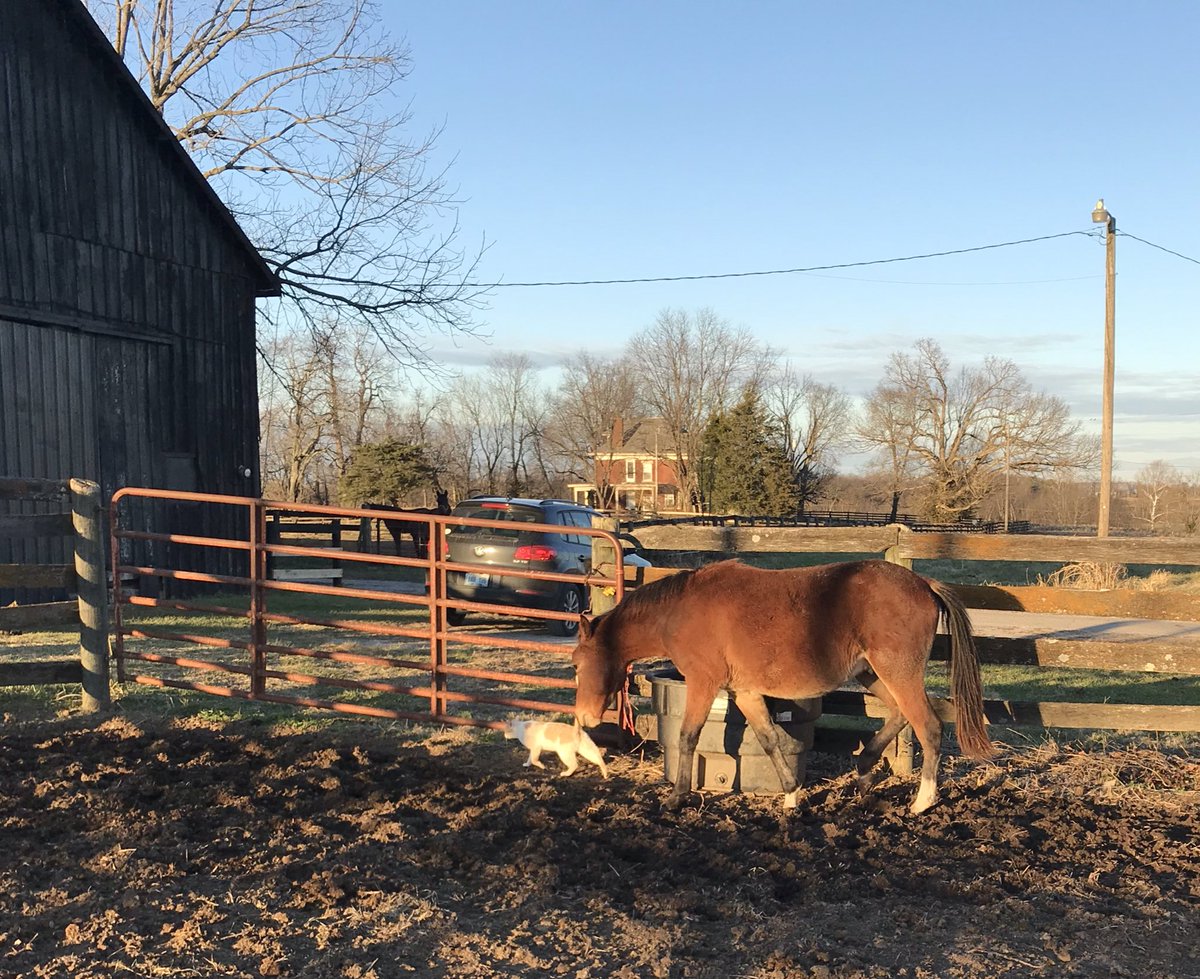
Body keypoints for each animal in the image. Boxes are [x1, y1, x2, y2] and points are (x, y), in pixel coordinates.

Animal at [571, 561, 993, 815]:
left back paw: (923, 801)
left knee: (929, 725)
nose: (584, 718)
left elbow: (688, 736)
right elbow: (770, 739)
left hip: (897, 673)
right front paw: (792, 796)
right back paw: (863, 770)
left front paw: (676, 797)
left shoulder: (703, 683)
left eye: (575, 664)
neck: (678, 610)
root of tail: (923, 583)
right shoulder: (743, 692)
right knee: (902, 714)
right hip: (872, 674)